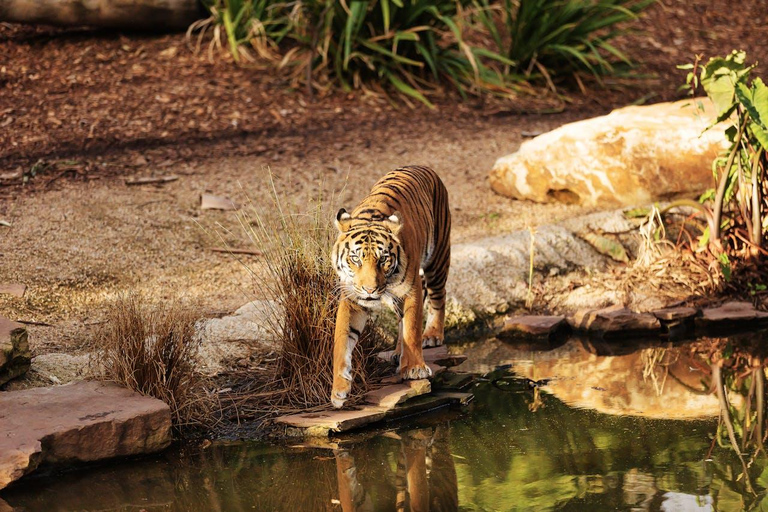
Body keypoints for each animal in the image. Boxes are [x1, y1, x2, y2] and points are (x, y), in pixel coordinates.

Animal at [330, 166, 450, 410]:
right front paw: (338, 389)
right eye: (355, 259)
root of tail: (423, 166)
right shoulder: (351, 299)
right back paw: (397, 353)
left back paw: (432, 335)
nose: (369, 290)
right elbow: (342, 340)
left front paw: (414, 369)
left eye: (383, 259)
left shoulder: (411, 290)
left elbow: (412, 328)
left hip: (438, 259)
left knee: (438, 297)